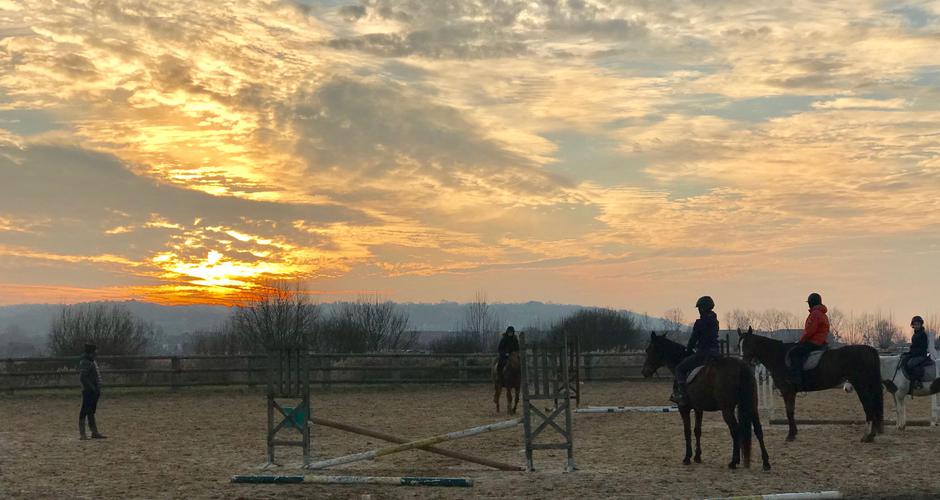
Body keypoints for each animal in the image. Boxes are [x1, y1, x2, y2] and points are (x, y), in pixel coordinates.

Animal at [648, 332, 772, 468]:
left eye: (649, 349)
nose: (644, 372)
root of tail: (741, 367)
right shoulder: (698, 408)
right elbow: (697, 430)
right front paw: (697, 456)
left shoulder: (683, 408)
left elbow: (687, 431)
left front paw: (687, 457)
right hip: (752, 406)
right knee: (758, 429)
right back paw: (765, 462)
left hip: (727, 409)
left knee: (735, 430)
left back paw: (734, 461)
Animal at [740, 328, 884, 442]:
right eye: (739, 345)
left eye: (747, 344)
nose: (744, 363)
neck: (778, 357)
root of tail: (869, 349)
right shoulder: (790, 392)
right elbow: (791, 411)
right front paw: (794, 433)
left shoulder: (787, 391)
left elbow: (789, 412)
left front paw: (790, 435)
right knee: (873, 406)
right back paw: (872, 435)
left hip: (861, 385)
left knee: (868, 406)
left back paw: (866, 436)